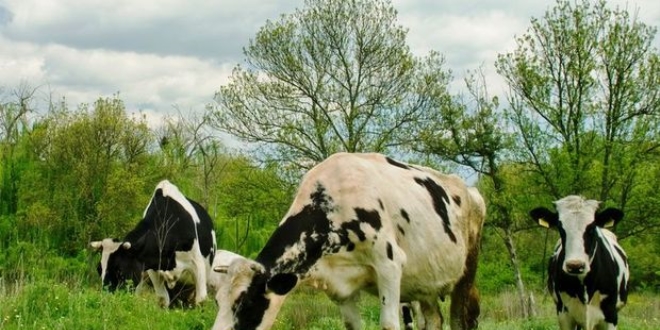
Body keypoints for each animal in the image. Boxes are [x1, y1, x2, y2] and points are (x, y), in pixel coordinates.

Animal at [211, 153, 484, 330]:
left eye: (246, 303)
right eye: (218, 302)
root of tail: (469, 189)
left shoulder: (389, 265)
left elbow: (389, 324)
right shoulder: (341, 288)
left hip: (466, 273)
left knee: (458, 319)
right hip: (425, 283)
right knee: (434, 320)